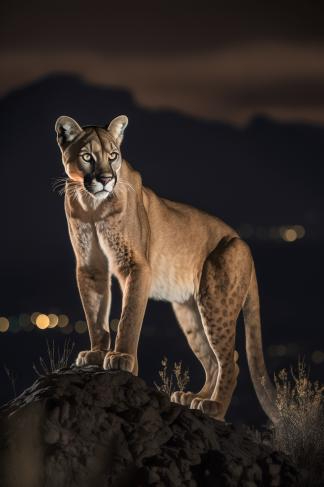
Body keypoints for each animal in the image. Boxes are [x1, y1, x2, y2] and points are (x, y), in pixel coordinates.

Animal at [55, 115, 278, 424]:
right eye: (87, 156)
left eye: (113, 156)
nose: (105, 179)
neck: (92, 205)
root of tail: (243, 242)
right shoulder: (90, 267)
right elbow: (95, 315)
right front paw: (97, 353)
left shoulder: (135, 265)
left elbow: (129, 317)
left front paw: (122, 359)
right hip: (190, 312)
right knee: (214, 360)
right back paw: (194, 397)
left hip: (215, 301)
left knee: (230, 361)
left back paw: (214, 407)